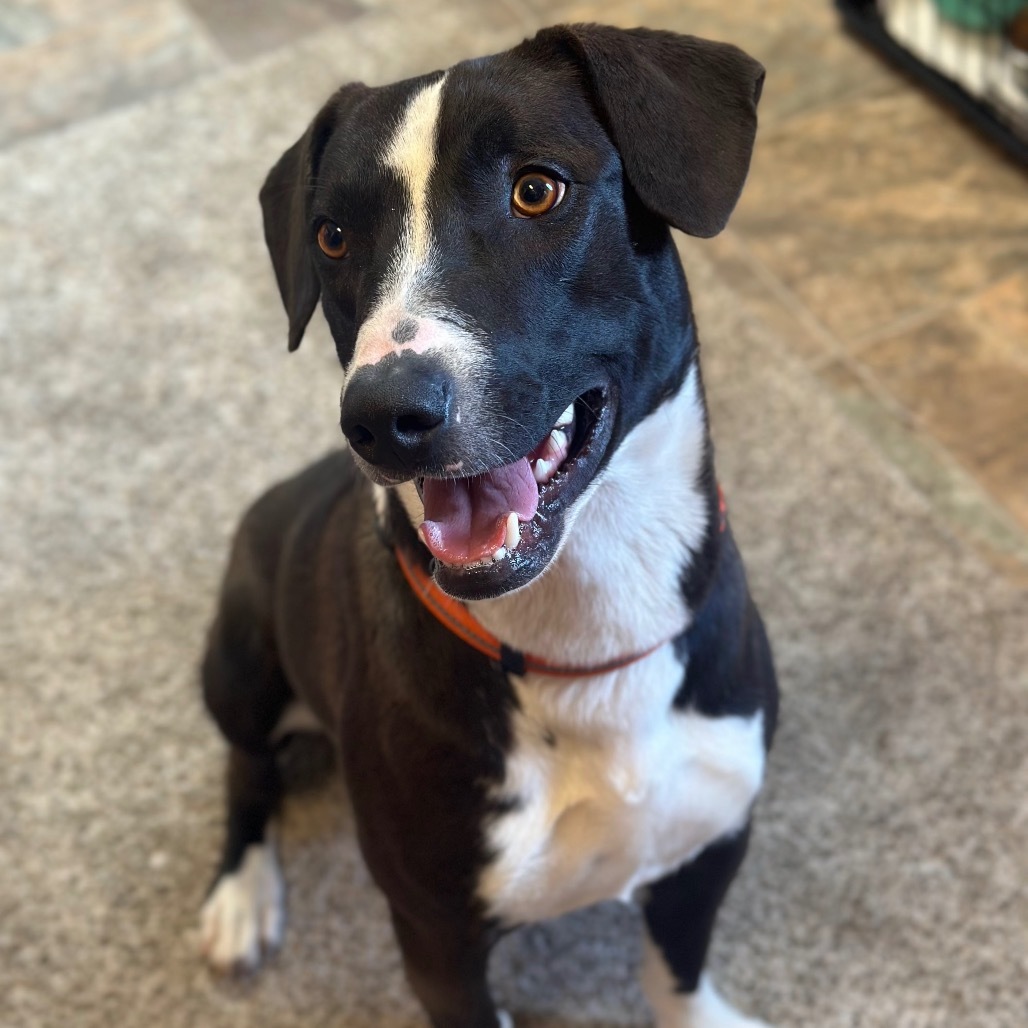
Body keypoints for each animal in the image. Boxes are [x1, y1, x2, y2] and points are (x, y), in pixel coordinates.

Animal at [198, 22, 777, 1028]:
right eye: (334, 235)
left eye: (537, 189)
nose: (383, 415)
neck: (585, 636)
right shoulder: (437, 935)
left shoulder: (711, 841)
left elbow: (676, 970)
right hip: (238, 658)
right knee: (245, 771)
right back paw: (241, 896)